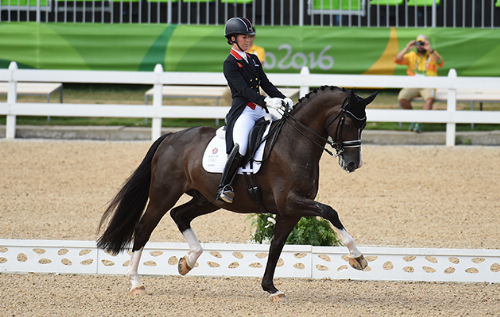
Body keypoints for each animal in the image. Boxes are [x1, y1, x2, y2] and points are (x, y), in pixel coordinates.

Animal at [97, 86, 376, 302]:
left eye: (363, 124)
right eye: (349, 123)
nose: (354, 164)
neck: (295, 143)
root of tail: (170, 137)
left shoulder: (289, 211)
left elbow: (276, 245)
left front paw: (271, 289)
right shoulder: (292, 202)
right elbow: (331, 212)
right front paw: (358, 258)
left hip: (207, 199)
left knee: (180, 215)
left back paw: (188, 261)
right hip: (163, 195)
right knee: (144, 228)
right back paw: (136, 283)